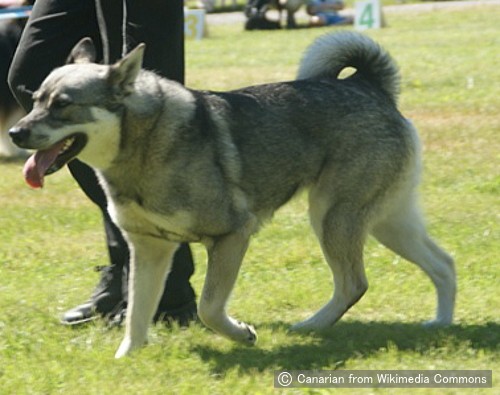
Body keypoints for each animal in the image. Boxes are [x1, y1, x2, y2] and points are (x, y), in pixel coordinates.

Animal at [8, 31, 454, 358]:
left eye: (63, 105)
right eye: (36, 100)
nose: (15, 133)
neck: (144, 142)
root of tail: (367, 85)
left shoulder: (231, 235)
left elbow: (208, 307)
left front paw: (242, 334)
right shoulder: (149, 249)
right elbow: (137, 313)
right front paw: (126, 359)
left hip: (334, 218)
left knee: (354, 283)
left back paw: (310, 326)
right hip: (386, 222)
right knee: (444, 264)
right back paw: (441, 324)